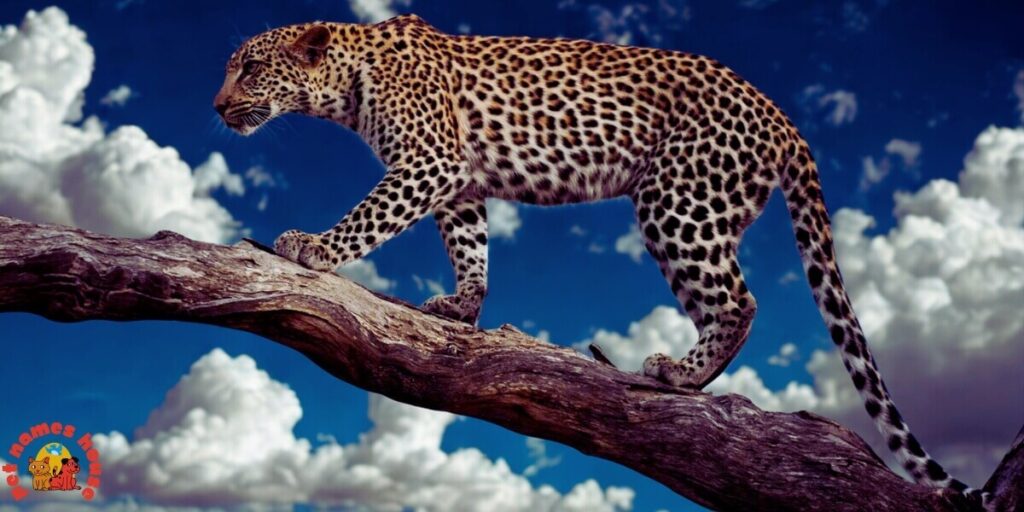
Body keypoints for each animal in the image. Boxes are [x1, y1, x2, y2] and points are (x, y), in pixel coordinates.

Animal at [214, 14, 986, 503]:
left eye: (250, 68)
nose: (217, 107)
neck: (346, 82)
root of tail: (782, 115)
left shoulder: (430, 161)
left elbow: (372, 215)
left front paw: (315, 248)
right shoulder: (460, 180)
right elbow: (470, 245)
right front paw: (462, 306)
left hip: (679, 202)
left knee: (741, 300)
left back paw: (680, 375)